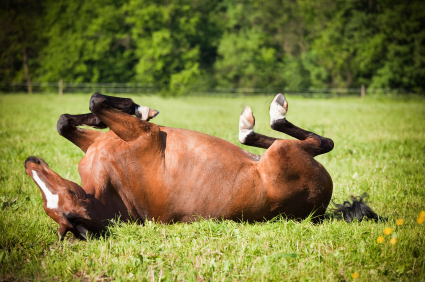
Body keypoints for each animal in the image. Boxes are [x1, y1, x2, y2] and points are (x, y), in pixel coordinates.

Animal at [26, 93, 338, 239]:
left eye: (69, 192)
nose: (31, 162)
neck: (113, 188)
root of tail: (321, 206)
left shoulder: (104, 141)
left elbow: (68, 120)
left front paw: (132, 110)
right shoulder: (145, 134)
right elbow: (95, 103)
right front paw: (138, 108)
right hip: (285, 152)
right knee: (320, 141)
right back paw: (264, 118)